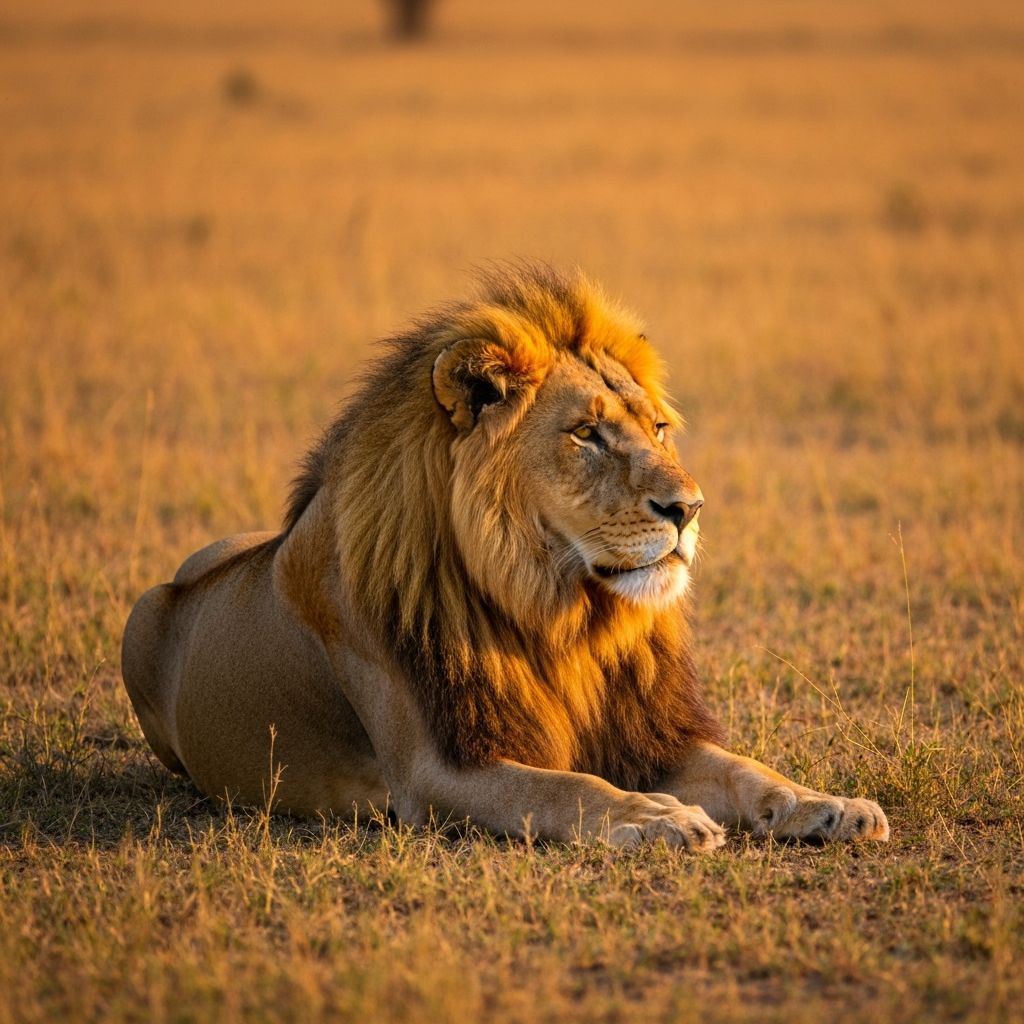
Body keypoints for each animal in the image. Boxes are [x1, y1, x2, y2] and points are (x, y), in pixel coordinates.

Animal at [122, 264, 889, 850]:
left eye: (659, 428)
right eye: (586, 434)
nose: (690, 508)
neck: (559, 614)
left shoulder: (644, 736)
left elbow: (744, 770)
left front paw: (829, 805)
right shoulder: (435, 771)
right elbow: (565, 787)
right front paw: (654, 815)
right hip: (136, 617)